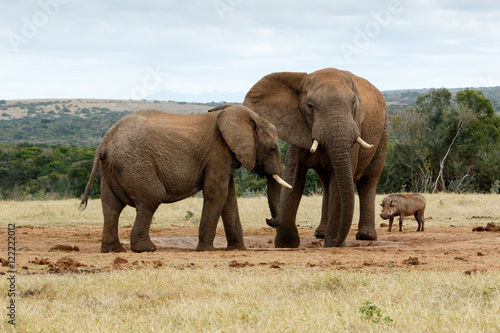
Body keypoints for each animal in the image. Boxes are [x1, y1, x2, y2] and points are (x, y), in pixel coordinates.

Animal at [80, 105, 292, 253]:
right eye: (272, 149)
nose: (268, 219)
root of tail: (104, 142)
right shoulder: (218, 154)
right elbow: (217, 194)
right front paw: (208, 250)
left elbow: (229, 199)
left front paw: (238, 249)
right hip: (135, 163)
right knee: (150, 199)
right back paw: (147, 249)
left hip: (110, 168)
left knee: (111, 206)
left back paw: (113, 250)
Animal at [244, 67, 388, 246]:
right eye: (309, 106)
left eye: (353, 103)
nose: (338, 241)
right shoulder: (297, 126)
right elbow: (294, 176)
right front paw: (286, 244)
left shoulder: (355, 129)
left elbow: (337, 182)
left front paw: (333, 245)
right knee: (326, 183)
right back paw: (321, 233)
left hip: (383, 132)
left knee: (368, 180)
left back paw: (365, 236)